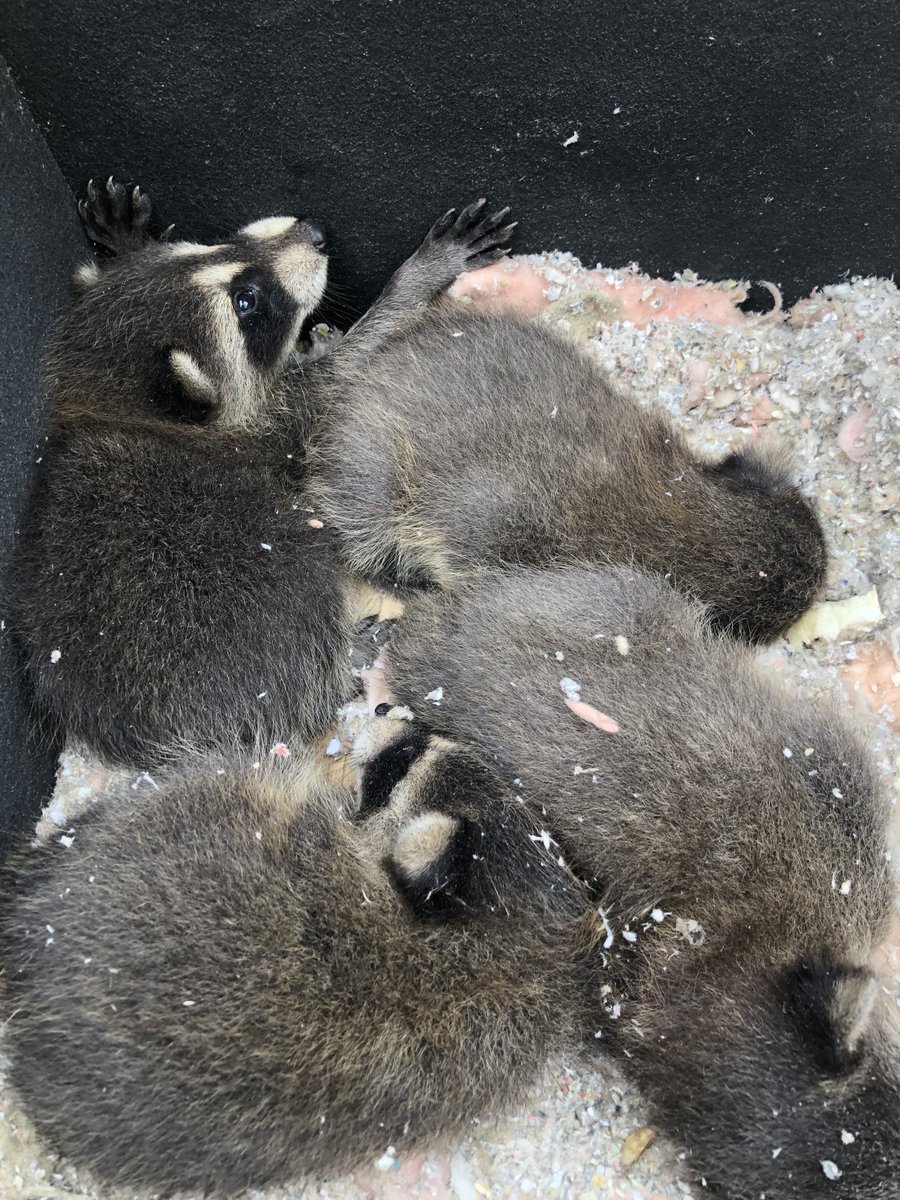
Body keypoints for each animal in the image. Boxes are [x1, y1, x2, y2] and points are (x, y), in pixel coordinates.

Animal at [14, 180, 514, 764]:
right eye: (245, 302)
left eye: (208, 246)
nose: (316, 232)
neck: (109, 405)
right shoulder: (280, 424)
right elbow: (355, 354)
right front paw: (415, 276)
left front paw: (123, 240)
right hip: (270, 590)